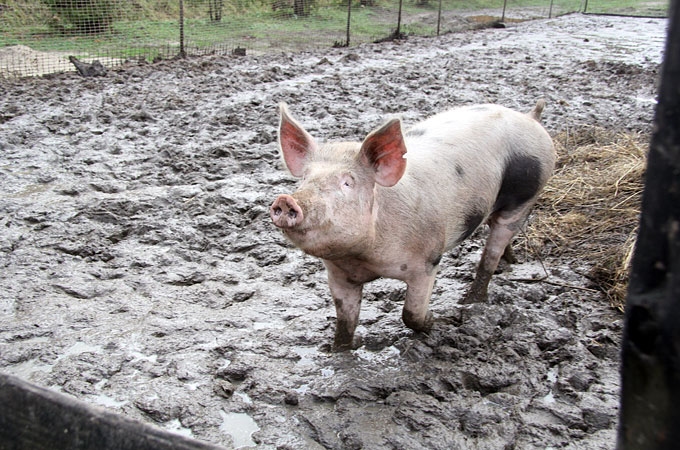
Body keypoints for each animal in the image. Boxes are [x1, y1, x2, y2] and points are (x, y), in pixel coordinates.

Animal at [268, 101, 556, 352]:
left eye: (348, 182)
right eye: (305, 178)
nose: (286, 200)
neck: (364, 257)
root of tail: (530, 118)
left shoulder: (427, 260)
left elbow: (411, 314)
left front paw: (439, 321)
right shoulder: (339, 275)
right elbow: (345, 323)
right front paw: (342, 350)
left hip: (525, 196)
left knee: (491, 253)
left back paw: (470, 302)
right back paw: (510, 262)